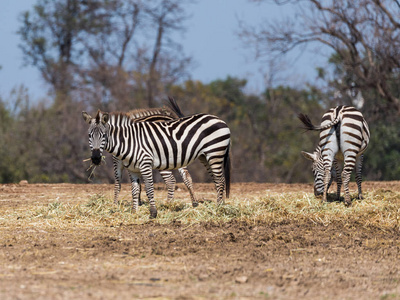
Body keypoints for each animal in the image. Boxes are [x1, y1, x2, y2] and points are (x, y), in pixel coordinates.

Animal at [82, 98, 231, 218]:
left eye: (104, 136)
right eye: (89, 135)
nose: (96, 158)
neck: (127, 140)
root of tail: (219, 119)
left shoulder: (128, 162)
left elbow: (129, 185)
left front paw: (150, 212)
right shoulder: (132, 168)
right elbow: (135, 189)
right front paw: (135, 211)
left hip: (213, 152)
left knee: (217, 180)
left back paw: (217, 208)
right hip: (202, 156)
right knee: (213, 179)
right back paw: (214, 204)